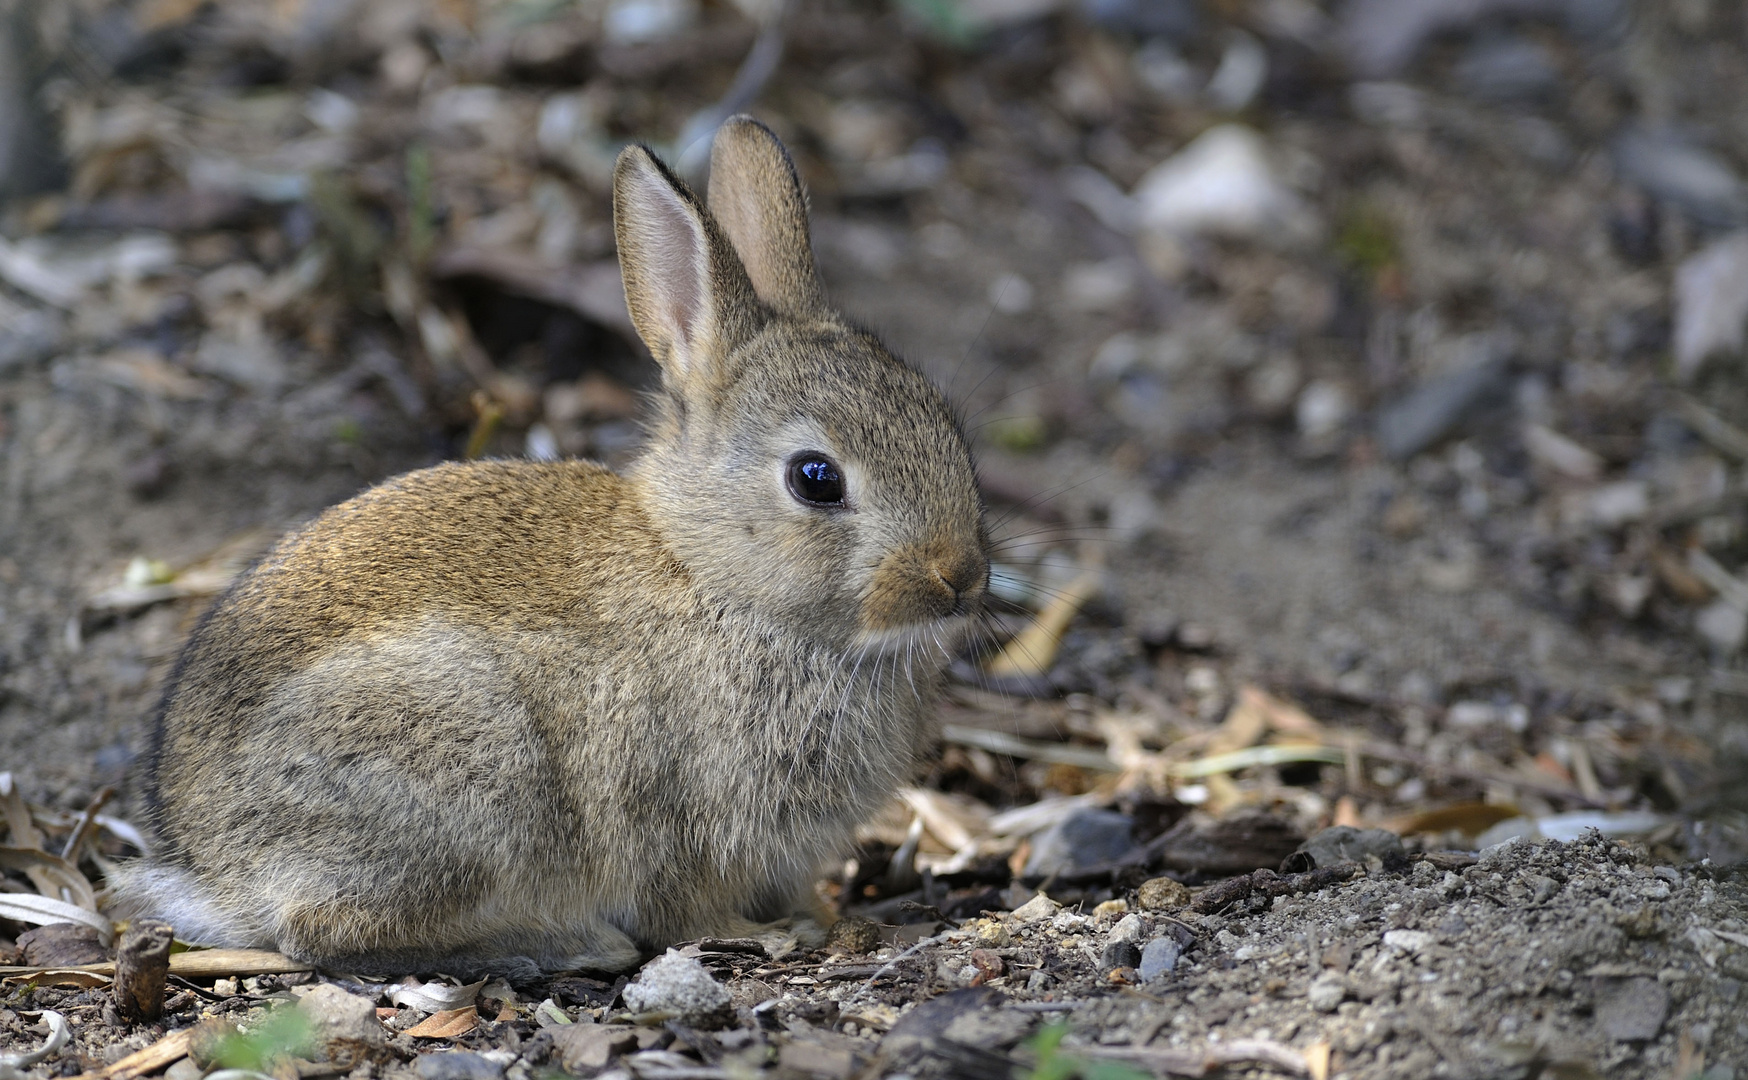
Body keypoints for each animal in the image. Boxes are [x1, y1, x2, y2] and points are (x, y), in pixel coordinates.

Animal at [109, 115, 992, 978]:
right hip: (469, 781)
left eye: (945, 422)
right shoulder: (682, 822)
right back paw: (558, 945)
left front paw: (816, 913)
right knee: (324, 931)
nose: (961, 578)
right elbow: (686, 908)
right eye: (816, 479)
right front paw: (769, 934)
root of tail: (208, 866)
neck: (712, 577)